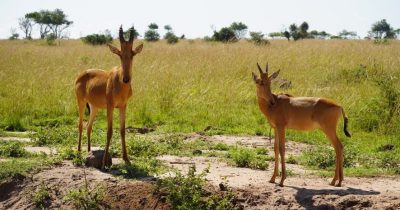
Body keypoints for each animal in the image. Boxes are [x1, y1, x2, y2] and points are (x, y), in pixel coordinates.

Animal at [75, 25, 144, 169]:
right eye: (120, 54)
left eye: (132, 54)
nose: (126, 79)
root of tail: (82, 74)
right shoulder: (110, 106)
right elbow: (110, 131)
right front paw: (103, 163)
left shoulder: (123, 106)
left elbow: (122, 130)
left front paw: (127, 159)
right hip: (81, 102)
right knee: (80, 125)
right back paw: (78, 153)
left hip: (94, 107)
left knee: (88, 126)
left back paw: (89, 151)